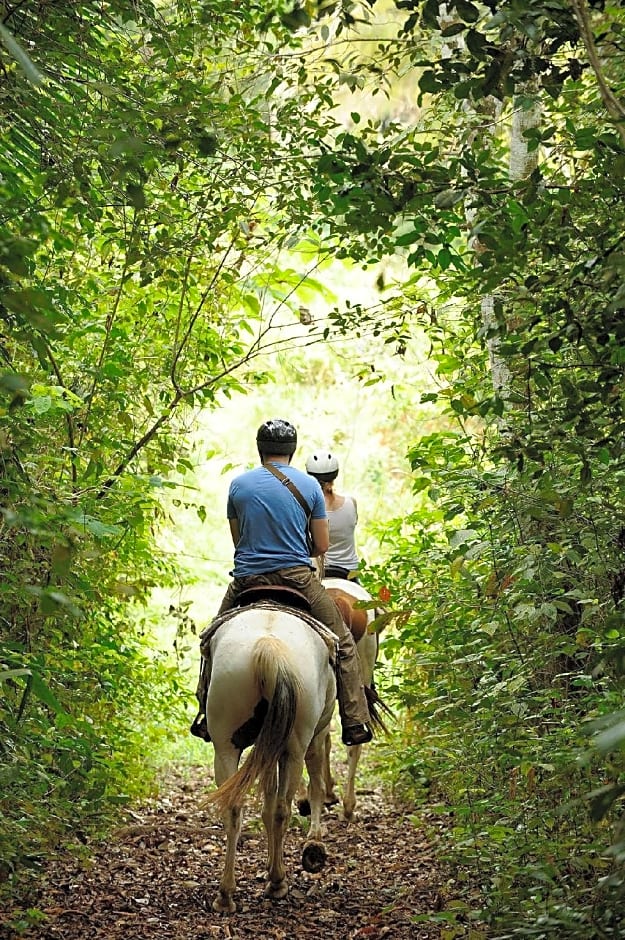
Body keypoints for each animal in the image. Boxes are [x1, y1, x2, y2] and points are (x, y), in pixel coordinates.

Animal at [204, 600, 336, 916]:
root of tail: (268, 649)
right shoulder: (316, 735)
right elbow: (313, 785)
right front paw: (313, 844)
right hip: (295, 747)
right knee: (281, 808)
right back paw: (277, 882)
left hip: (225, 745)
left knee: (234, 807)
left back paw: (226, 895)